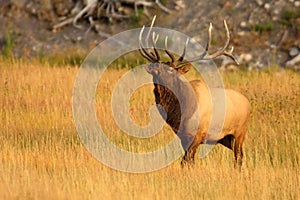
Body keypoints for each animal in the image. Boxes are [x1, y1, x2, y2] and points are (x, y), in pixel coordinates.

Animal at [139, 17, 251, 170]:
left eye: (171, 69)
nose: (153, 68)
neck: (180, 112)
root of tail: (248, 103)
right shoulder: (183, 137)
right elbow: (188, 162)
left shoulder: (198, 135)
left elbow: (186, 161)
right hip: (226, 139)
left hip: (239, 132)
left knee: (238, 157)